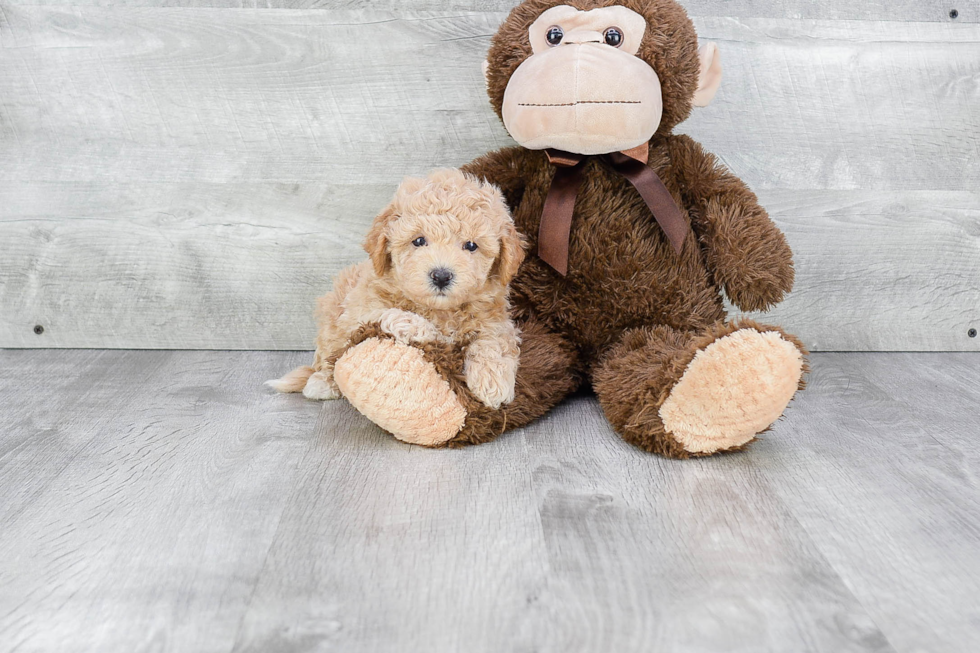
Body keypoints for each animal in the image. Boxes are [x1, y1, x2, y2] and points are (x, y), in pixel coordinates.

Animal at [266, 169, 528, 412]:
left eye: (471, 245)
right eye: (419, 241)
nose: (441, 276)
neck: (439, 310)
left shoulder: (496, 318)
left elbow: (493, 341)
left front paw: (492, 382)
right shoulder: (358, 311)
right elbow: (390, 314)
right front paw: (423, 328)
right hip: (332, 315)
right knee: (331, 357)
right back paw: (322, 382)